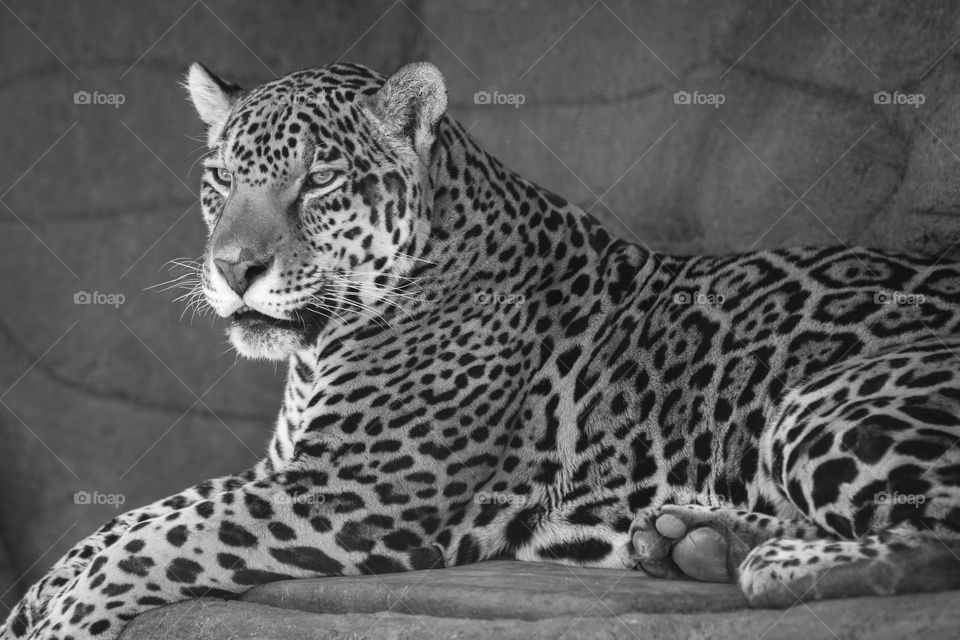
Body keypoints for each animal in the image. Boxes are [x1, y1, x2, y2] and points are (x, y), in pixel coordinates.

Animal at [3, 59, 960, 640]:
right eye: (221, 182)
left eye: (318, 180)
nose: (235, 269)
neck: (319, 347)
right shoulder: (296, 475)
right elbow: (123, 526)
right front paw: (30, 609)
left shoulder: (352, 494)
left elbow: (148, 533)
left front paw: (57, 620)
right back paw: (694, 539)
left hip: (828, 399)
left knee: (936, 540)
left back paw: (764, 564)